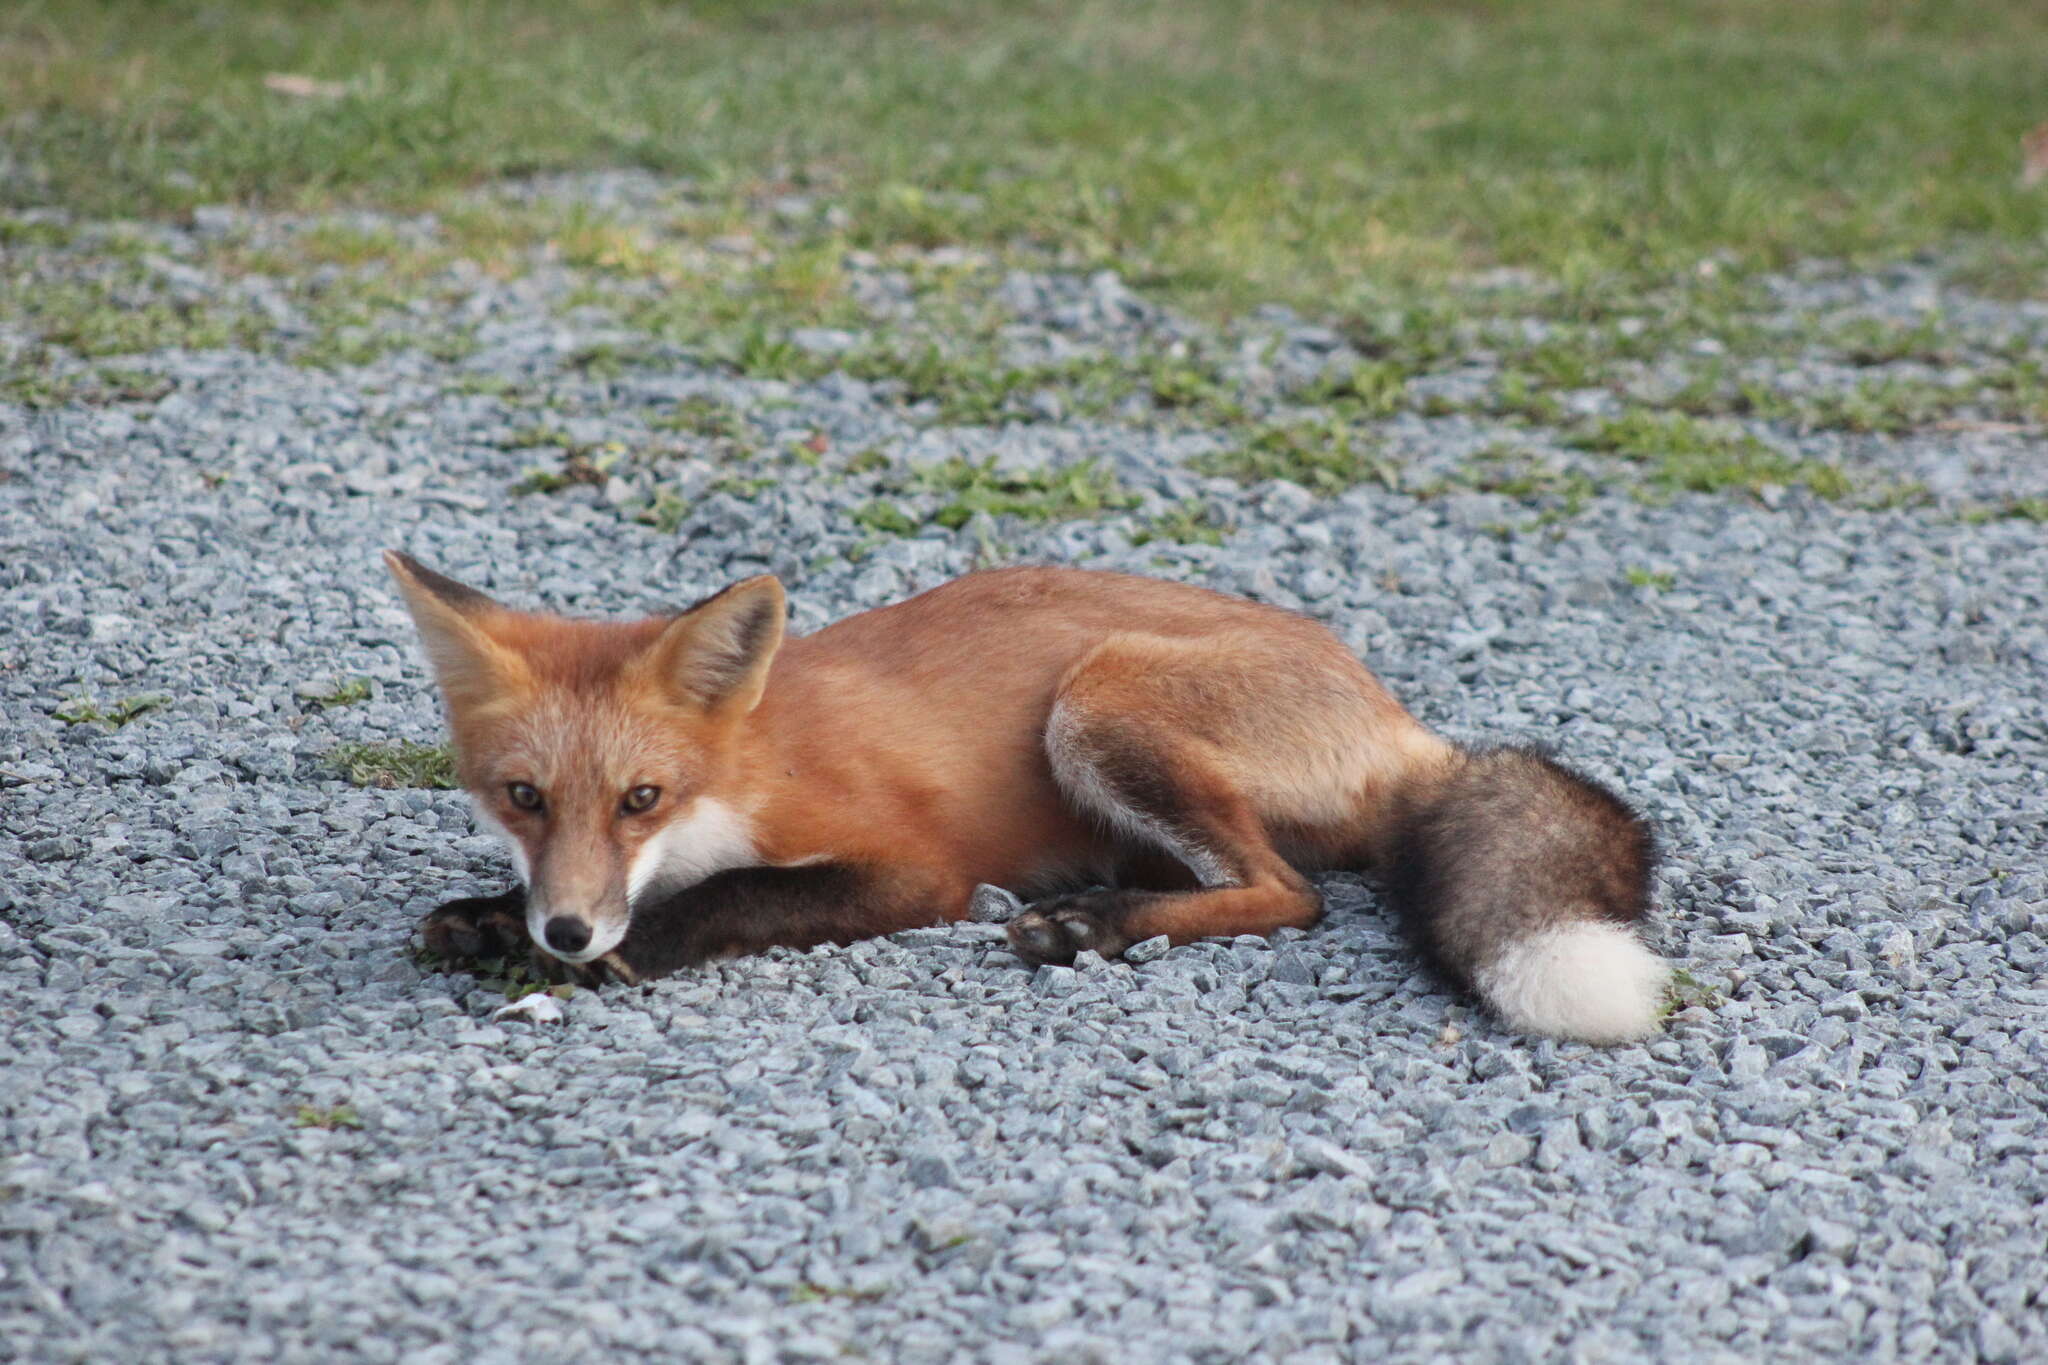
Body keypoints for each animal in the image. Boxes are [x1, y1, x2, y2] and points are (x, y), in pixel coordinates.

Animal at [385, 556, 1662, 1047]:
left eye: (641, 796)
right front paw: (491, 921)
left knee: (1286, 895)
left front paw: (622, 946)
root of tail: (1398, 718)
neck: (744, 767)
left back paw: (1091, 927)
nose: (565, 931)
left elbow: (735, 897)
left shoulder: (912, 868)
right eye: (522, 797)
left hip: (1098, 702)